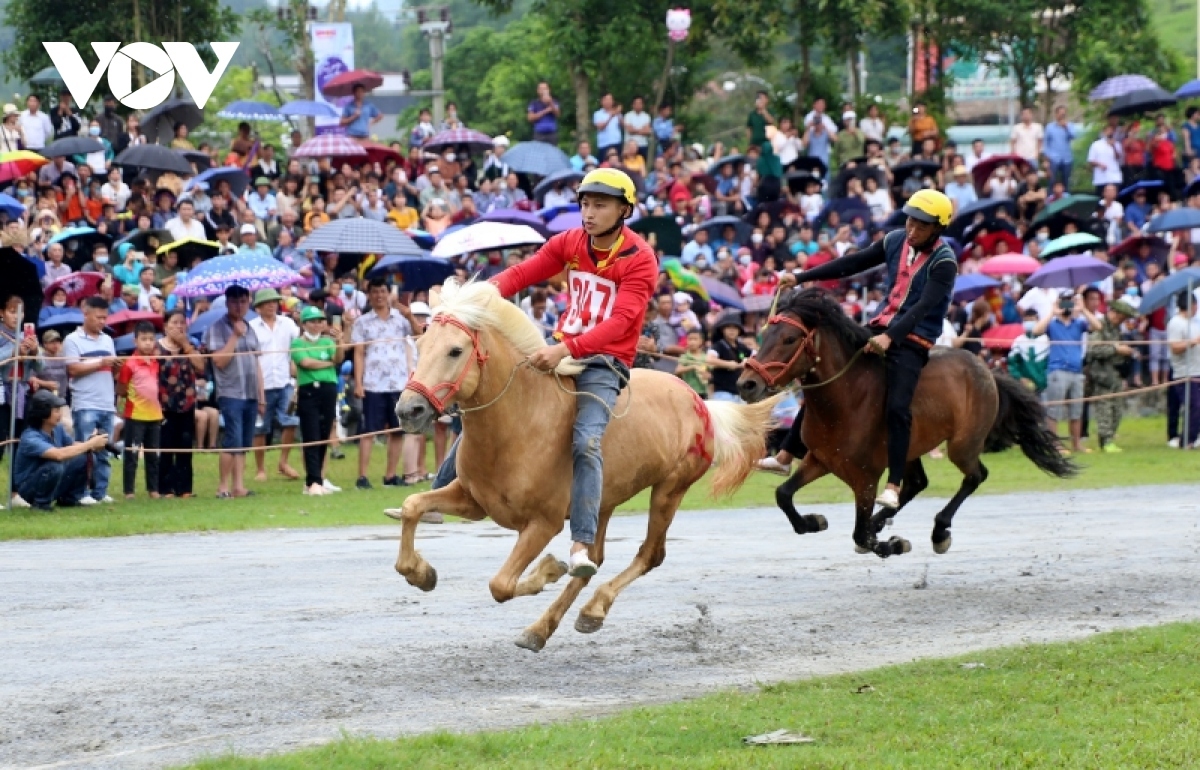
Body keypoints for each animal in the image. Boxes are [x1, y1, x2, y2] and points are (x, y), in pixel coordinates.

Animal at [384, 278, 777, 652]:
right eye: (420, 344)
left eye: (455, 350)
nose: (408, 410)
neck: (520, 422)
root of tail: (699, 401)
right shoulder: (473, 502)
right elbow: (412, 506)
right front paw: (420, 573)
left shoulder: (543, 523)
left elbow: (501, 584)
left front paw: (547, 570)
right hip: (602, 504)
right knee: (593, 562)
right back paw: (541, 629)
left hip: (670, 490)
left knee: (647, 555)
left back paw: (592, 609)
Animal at [734, 287, 1075, 556]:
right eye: (764, 335)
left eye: (790, 338)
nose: (746, 384)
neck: (847, 399)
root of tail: (985, 368)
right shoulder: (820, 460)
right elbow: (783, 495)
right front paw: (813, 521)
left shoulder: (866, 478)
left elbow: (860, 534)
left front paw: (892, 544)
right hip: (911, 448)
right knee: (916, 483)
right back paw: (882, 520)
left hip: (962, 446)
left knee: (975, 476)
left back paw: (938, 531)